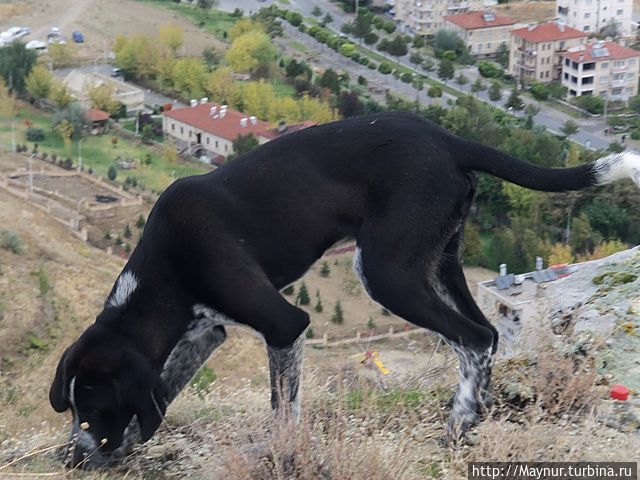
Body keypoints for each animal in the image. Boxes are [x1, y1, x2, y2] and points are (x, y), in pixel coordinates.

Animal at [48, 110, 636, 466]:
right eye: (73, 410)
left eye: (95, 408)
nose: (75, 457)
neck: (166, 271)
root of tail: (448, 139)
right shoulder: (205, 331)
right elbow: (166, 388)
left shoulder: (284, 325)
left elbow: (282, 404)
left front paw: (282, 451)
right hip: (439, 261)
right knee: (487, 333)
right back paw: (475, 416)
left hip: (386, 271)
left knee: (473, 338)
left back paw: (458, 424)